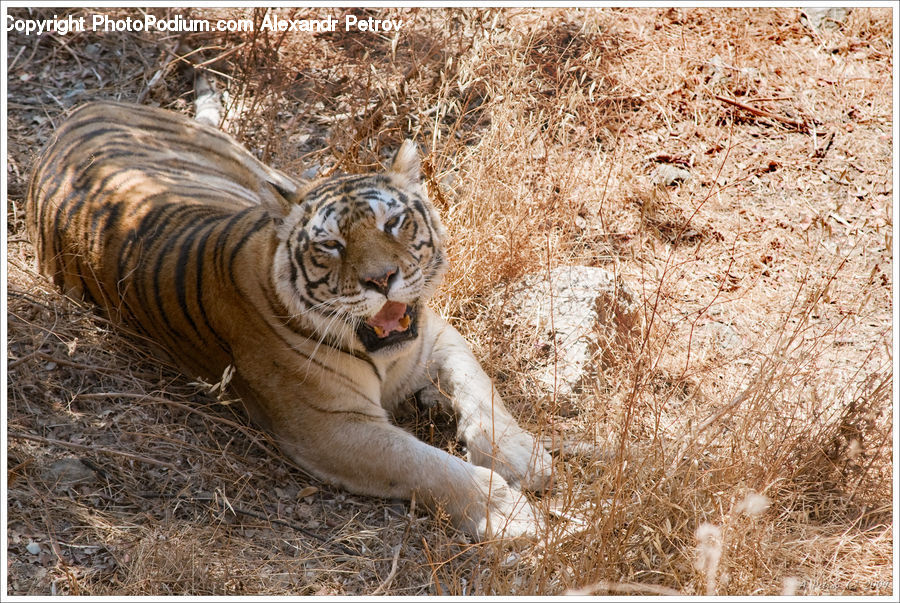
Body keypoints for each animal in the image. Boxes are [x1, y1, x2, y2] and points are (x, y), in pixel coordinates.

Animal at [25, 101, 554, 540]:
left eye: (392, 223)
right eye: (331, 245)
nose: (382, 279)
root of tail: (83, 108)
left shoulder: (435, 335)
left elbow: (482, 388)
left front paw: (523, 458)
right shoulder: (330, 427)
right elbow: (431, 466)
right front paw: (511, 517)